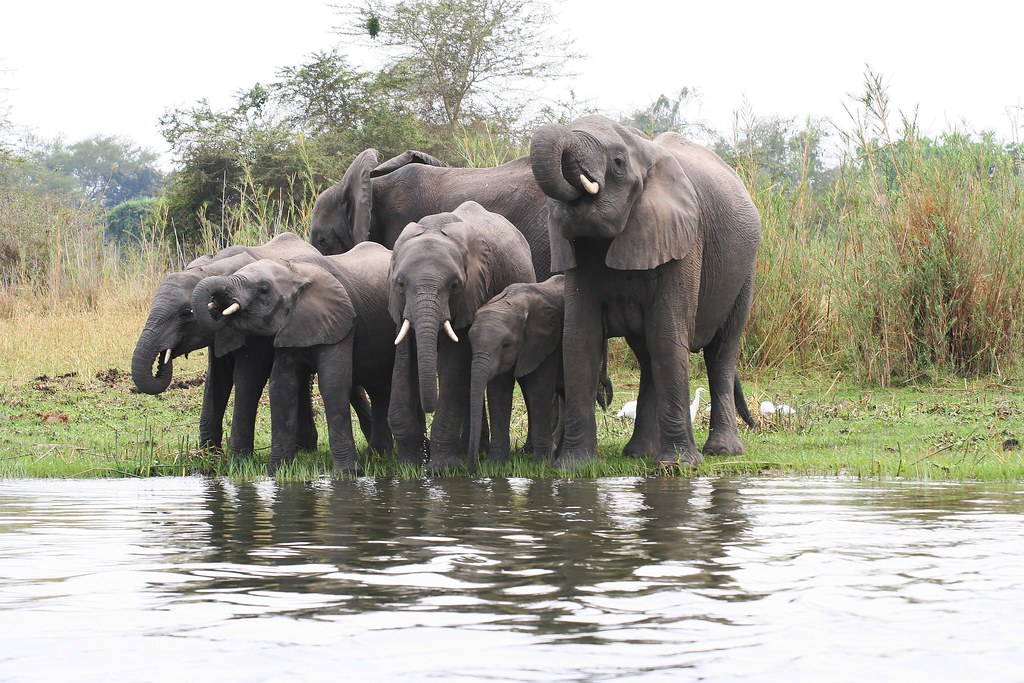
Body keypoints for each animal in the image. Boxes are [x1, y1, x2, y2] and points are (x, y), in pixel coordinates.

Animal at [192, 244, 395, 475]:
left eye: (264, 289)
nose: (218, 304)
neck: (295, 272)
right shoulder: (291, 325)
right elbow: (282, 385)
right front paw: (276, 473)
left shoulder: (340, 321)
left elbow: (333, 384)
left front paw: (346, 474)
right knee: (379, 389)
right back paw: (379, 455)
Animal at [385, 200, 536, 473]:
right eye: (400, 283)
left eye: (455, 285)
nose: (428, 407)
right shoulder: (399, 307)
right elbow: (404, 358)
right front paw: (409, 465)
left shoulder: (474, 292)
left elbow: (454, 363)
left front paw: (441, 469)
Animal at [528, 116, 761, 471]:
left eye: (618, 162)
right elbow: (580, 339)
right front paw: (573, 467)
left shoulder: (685, 237)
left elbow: (668, 334)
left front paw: (678, 467)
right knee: (648, 354)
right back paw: (640, 453)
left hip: (744, 274)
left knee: (721, 352)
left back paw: (722, 451)